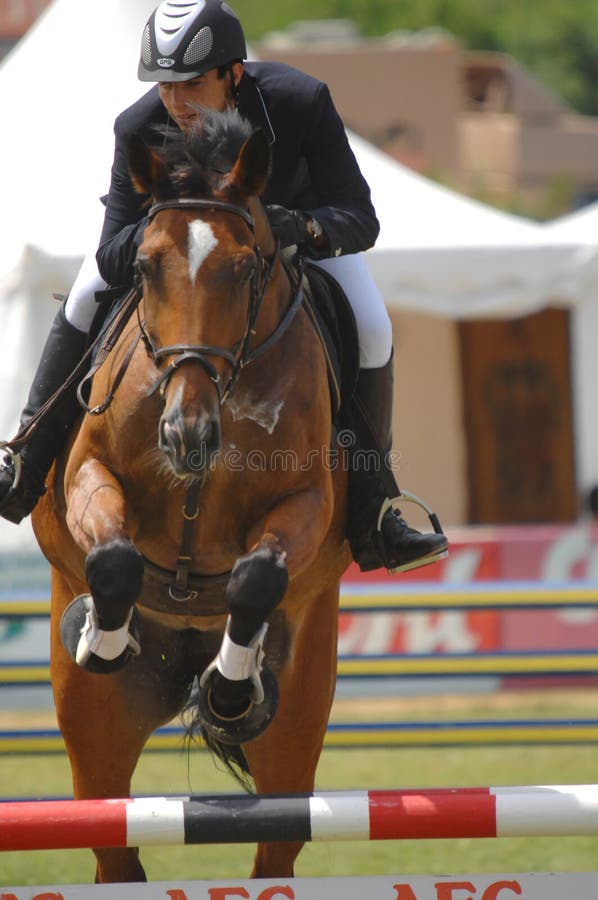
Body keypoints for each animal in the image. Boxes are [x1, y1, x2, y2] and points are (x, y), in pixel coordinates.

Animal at [31, 107, 352, 884]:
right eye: (145, 268)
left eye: (244, 269)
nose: (187, 435)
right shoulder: (89, 475)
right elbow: (115, 560)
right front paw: (102, 635)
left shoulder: (306, 503)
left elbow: (257, 575)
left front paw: (231, 687)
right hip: (95, 732)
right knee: (112, 845)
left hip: (297, 719)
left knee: (277, 843)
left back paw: (231, 686)